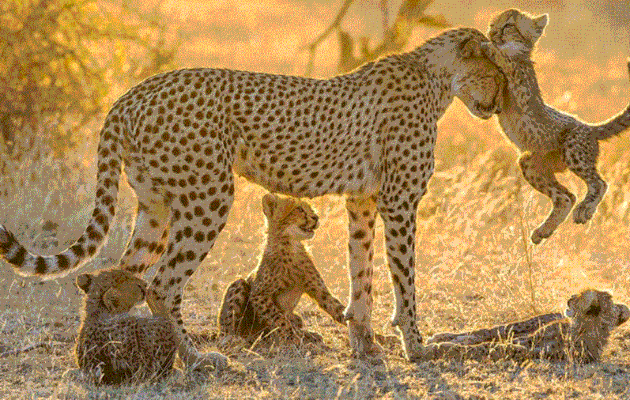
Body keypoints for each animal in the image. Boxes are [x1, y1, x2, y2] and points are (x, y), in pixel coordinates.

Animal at [217, 194, 346, 344]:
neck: (291, 246)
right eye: (299, 209)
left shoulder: (319, 289)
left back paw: (308, 334)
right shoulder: (259, 295)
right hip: (239, 288)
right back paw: (232, 338)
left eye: (310, 208)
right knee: (226, 327)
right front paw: (292, 337)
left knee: (296, 320)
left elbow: (336, 306)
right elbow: (278, 317)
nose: (316, 217)